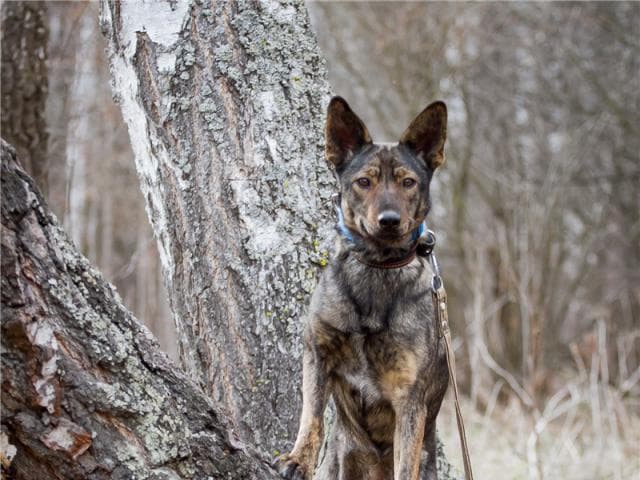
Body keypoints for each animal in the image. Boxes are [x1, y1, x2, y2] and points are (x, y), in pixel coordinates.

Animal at [276, 97, 450, 480]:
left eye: (408, 182)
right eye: (364, 181)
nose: (389, 221)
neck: (378, 267)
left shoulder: (409, 397)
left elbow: (405, 461)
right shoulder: (318, 353)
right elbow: (311, 418)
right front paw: (298, 459)